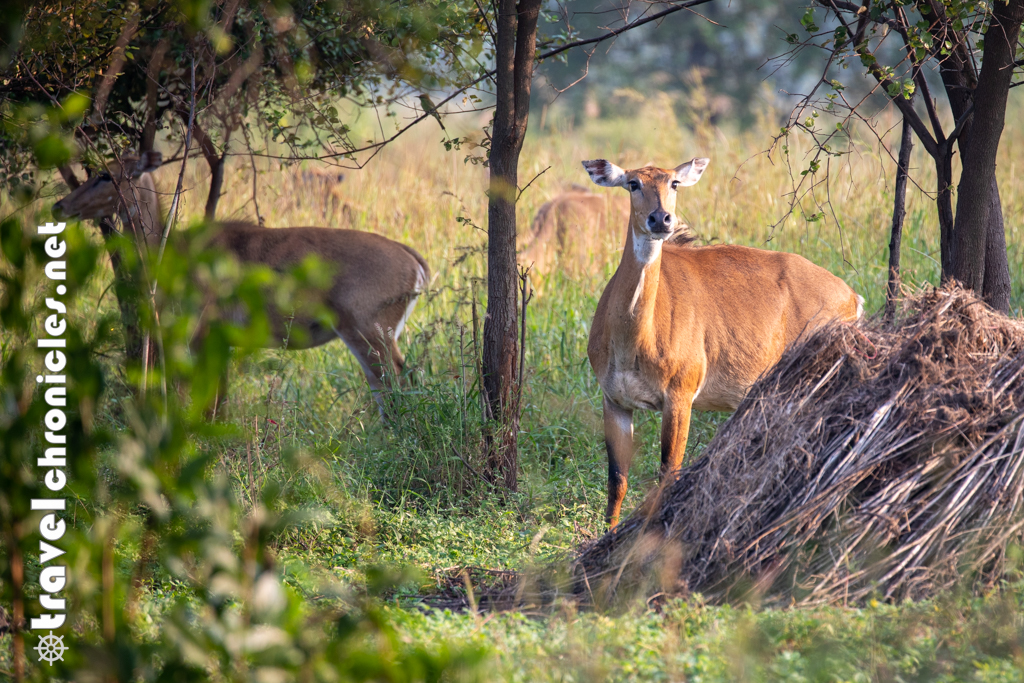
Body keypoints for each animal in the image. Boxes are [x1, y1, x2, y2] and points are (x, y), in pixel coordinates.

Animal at [52, 151, 428, 413]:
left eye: (106, 175)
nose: (60, 206)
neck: (170, 247)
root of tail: (412, 259)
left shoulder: (199, 331)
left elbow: (198, 397)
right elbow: (217, 398)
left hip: (369, 333)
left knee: (400, 382)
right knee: (386, 387)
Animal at [581, 157, 860, 528]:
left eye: (673, 183)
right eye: (632, 183)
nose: (660, 219)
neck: (630, 339)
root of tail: (852, 296)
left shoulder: (680, 395)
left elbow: (668, 473)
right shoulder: (614, 399)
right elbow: (617, 480)